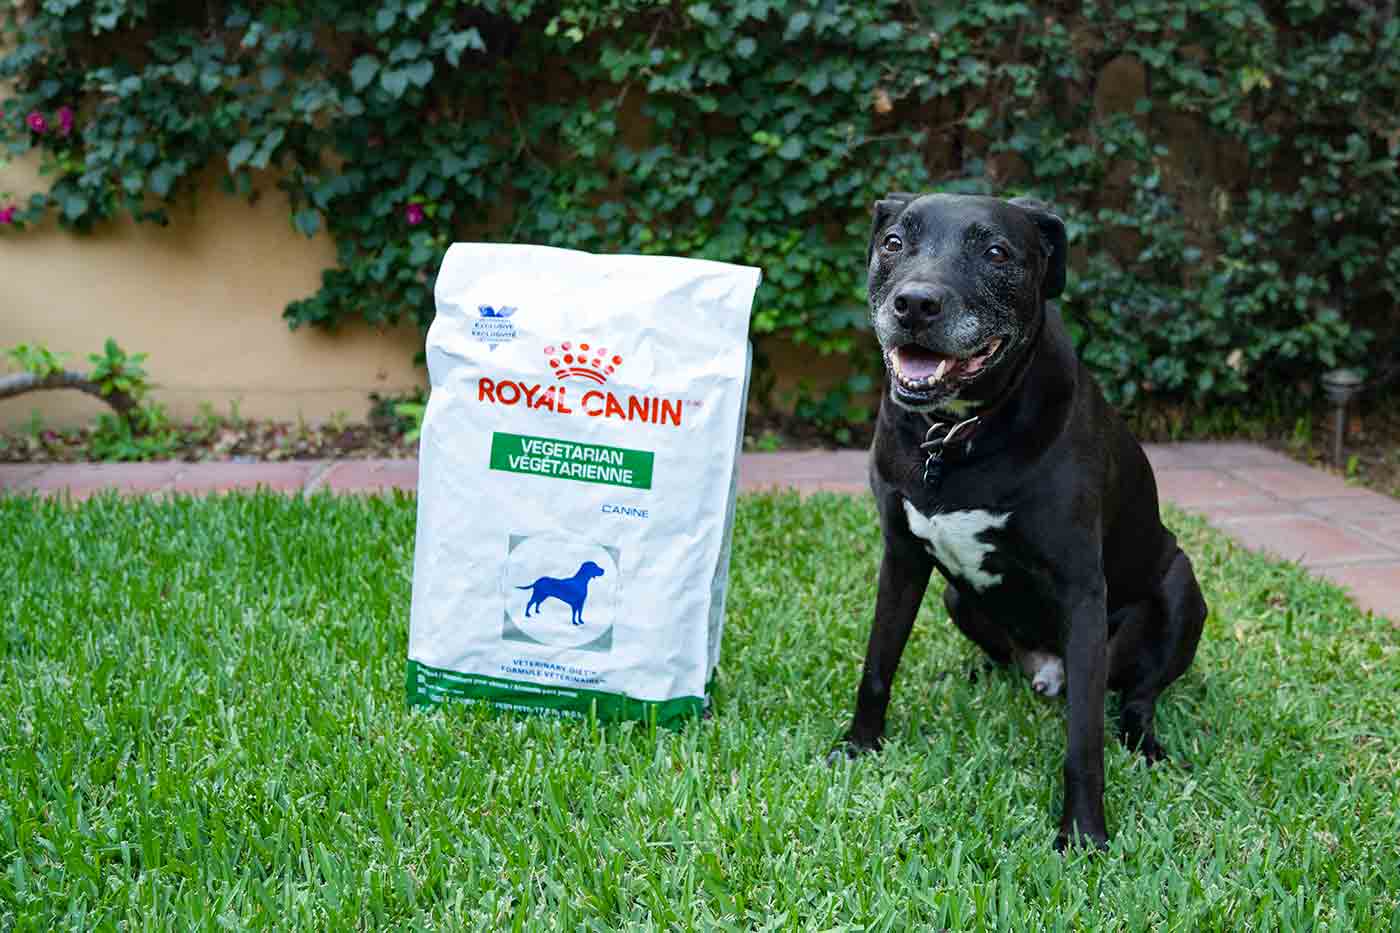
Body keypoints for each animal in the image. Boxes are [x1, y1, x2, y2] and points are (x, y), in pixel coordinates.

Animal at [834, 191, 1209, 846]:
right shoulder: (901, 557)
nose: (915, 304)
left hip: (1181, 588)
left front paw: (1083, 834)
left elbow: (1084, 738)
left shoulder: (1081, 590)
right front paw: (859, 747)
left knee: (1137, 695)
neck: (955, 434)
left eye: (996, 252)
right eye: (894, 243)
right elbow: (877, 664)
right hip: (957, 598)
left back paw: (1145, 743)